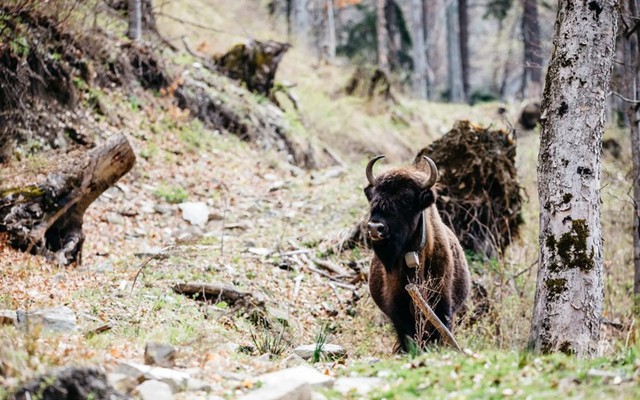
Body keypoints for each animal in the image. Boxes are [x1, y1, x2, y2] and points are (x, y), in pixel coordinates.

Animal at [364, 155, 470, 352]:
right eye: (374, 197)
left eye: (406, 199)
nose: (375, 228)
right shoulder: (398, 307)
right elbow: (406, 332)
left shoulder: (442, 304)